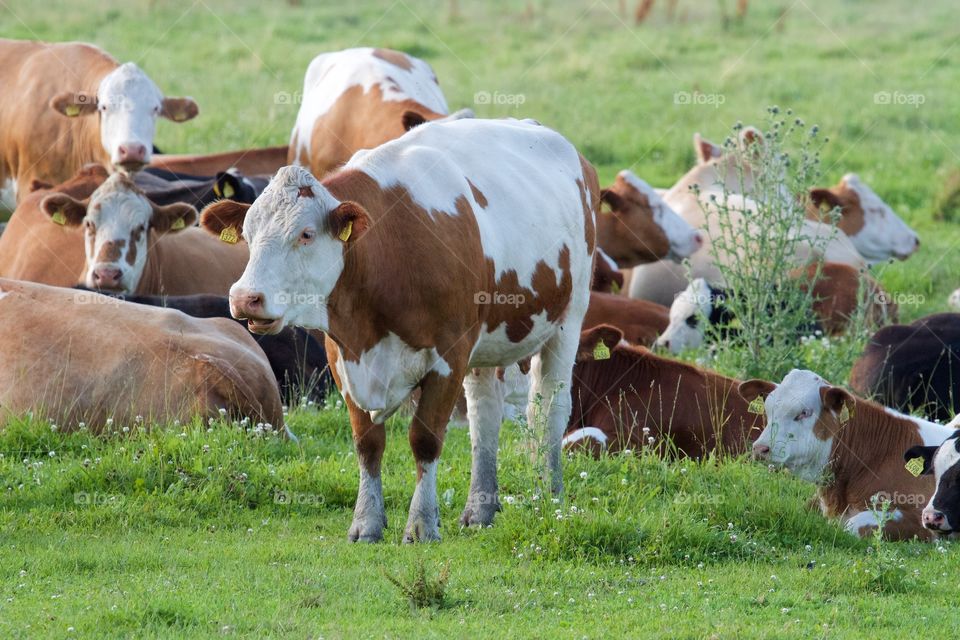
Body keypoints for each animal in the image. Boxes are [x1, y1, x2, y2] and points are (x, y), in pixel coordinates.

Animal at [200, 118, 597, 542]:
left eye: (305, 234)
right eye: (247, 234)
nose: (245, 297)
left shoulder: (449, 355)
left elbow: (424, 439)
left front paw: (422, 524)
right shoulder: (343, 356)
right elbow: (368, 443)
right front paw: (367, 522)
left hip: (568, 319)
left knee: (549, 408)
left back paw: (550, 497)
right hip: (487, 344)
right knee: (485, 416)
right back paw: (480, 508)